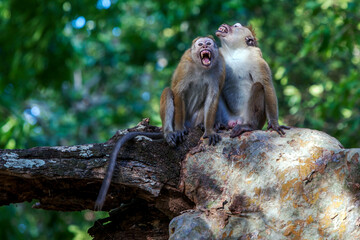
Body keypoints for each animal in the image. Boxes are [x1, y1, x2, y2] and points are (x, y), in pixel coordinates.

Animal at [95, 35, 225, 210]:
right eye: (200, 44)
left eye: (209, 43)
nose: (205, 46)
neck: (201, 67)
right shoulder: (185, 66)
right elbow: (178, 92)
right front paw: (178, 131)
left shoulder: (219, 67)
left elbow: (213, 96)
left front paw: (210, 130)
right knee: (168, 92)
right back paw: (169, 133)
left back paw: (202, 125)